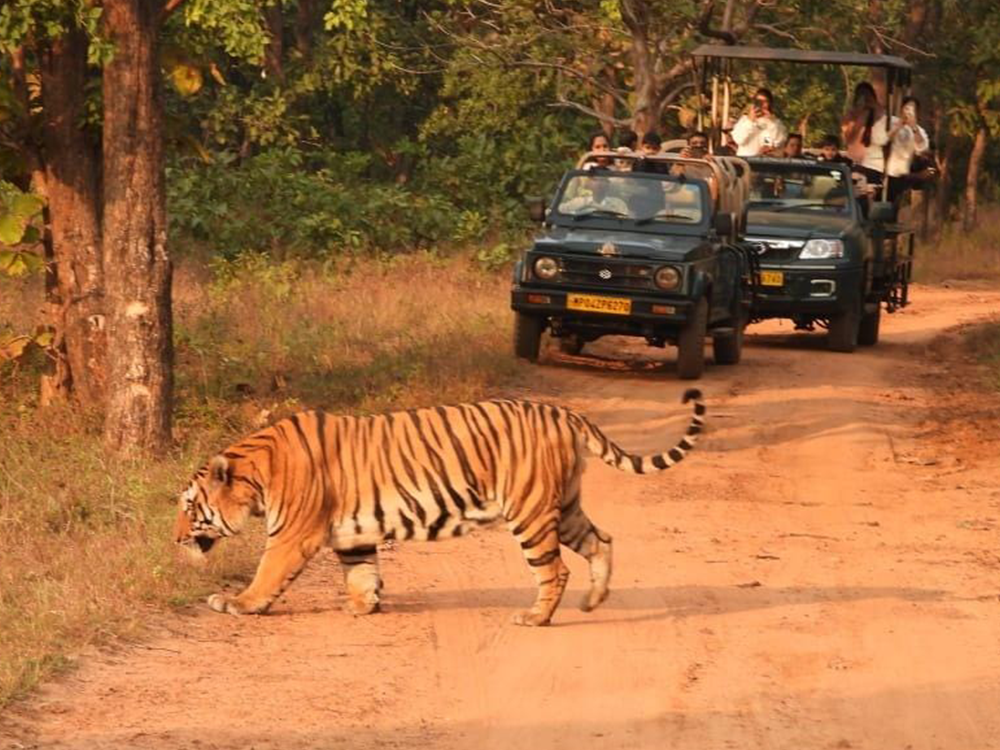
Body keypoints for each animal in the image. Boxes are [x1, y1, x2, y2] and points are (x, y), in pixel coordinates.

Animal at [174, 388, 705, 626]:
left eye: (190, 506)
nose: (175, 539)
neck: (256, 475)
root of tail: (563, 412)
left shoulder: (291, 536)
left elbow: (266, 574)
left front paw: (239, 603)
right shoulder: (352, 530)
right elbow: (361, 570)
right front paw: (364, 604)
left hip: (530, 511)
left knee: (554, 569)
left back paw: (536, 617)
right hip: (566, 506)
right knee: (602, 541)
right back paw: (594, 601)